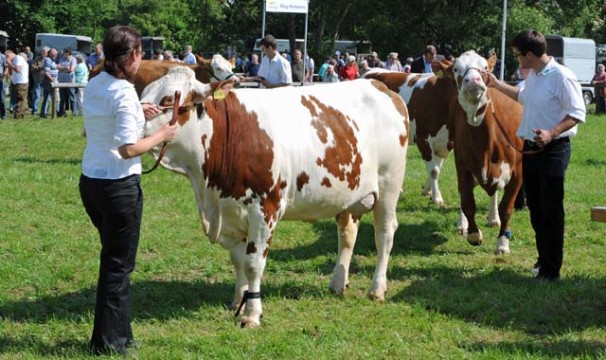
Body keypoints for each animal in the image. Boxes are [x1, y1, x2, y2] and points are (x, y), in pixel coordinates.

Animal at [140, 67, 410, 326]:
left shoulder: (264, 209)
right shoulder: (230, 213)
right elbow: (238, 261)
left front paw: (251, 314)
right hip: (348, 195)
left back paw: (377, 289)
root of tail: (379, 85)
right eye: (144, 92)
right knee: (347, 234)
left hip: (389, 184)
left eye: (167, 99)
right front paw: (237, 302)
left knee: (384, 234)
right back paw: (337, 284)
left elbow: (253, 264)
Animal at [436, 50, 528, 255]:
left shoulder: (518, 172)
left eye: (485, 67)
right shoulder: (462, 164)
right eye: (456, 69)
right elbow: (467, 201)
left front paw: (502, 243)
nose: (473, 80)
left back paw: (493, 218)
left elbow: (506, 208)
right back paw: (462, 225)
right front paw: (473, 234)